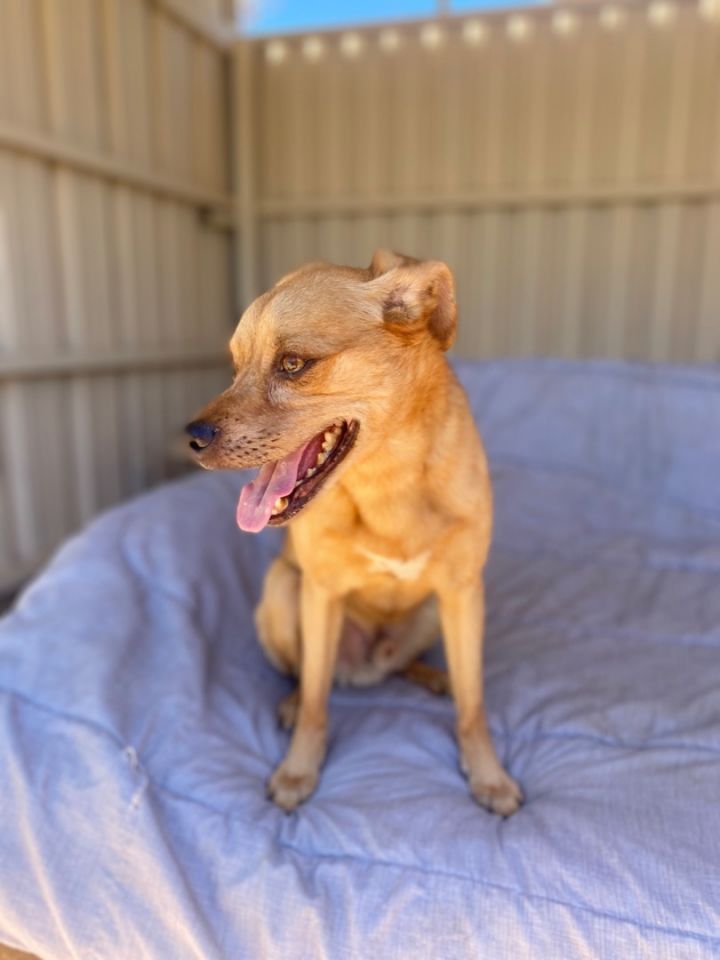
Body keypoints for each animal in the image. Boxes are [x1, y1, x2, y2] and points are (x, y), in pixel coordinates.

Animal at [186, 251, 524, 812]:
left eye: (293, 363)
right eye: (235, 368)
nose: (190, 438)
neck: (386, 481)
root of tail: (363, 668)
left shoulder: (461, 592)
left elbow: (473, 705)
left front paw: (488, 775)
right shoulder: (320, 592)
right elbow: (316, 702)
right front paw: (299, 770)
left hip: (431, 612)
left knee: (408, 666)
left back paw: (435, 677)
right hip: (283, 590)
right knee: (306, 675)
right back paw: (293, 700)